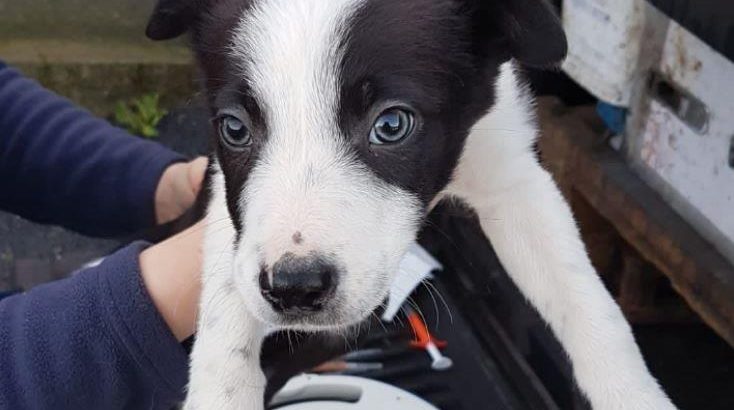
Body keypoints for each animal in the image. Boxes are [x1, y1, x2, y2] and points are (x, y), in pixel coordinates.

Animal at [148, 1, 680, 408]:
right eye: (235, 128)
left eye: (392, 125)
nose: (294, 289)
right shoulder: (223, 186)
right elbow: (225, 303)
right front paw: (221, 391)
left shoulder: (513, 174)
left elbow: (586, 300)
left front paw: (634, 396)